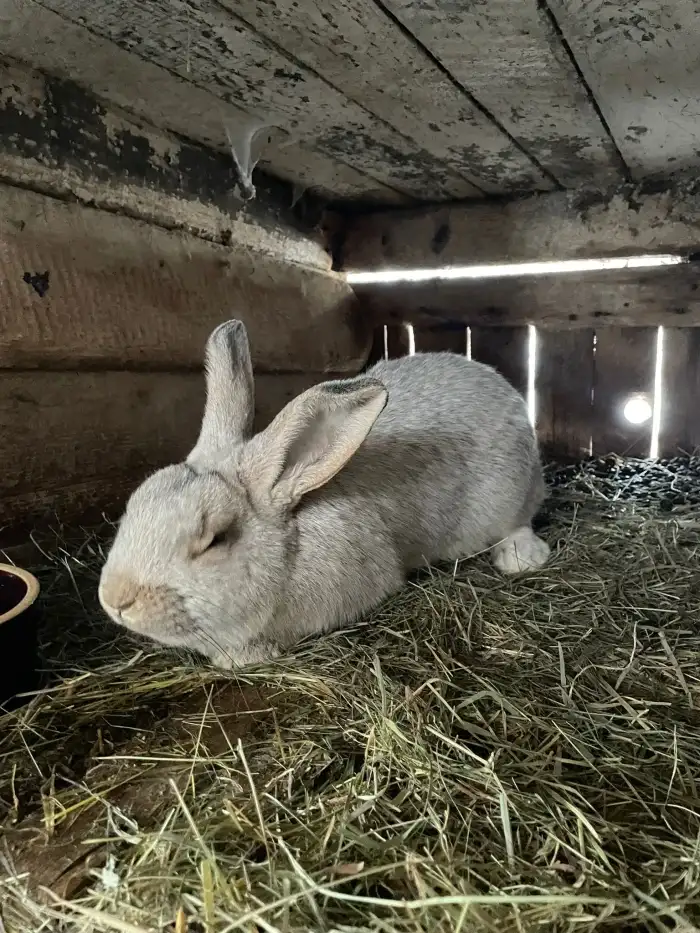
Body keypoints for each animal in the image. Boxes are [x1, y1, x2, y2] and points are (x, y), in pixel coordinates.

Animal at [98, 319, 549, 669]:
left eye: (215, 539)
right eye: (135, 502)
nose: (115, 599)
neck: (292, 547)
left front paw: (241, 658)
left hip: (511, 496)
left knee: (520, 522)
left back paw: (521, 558)